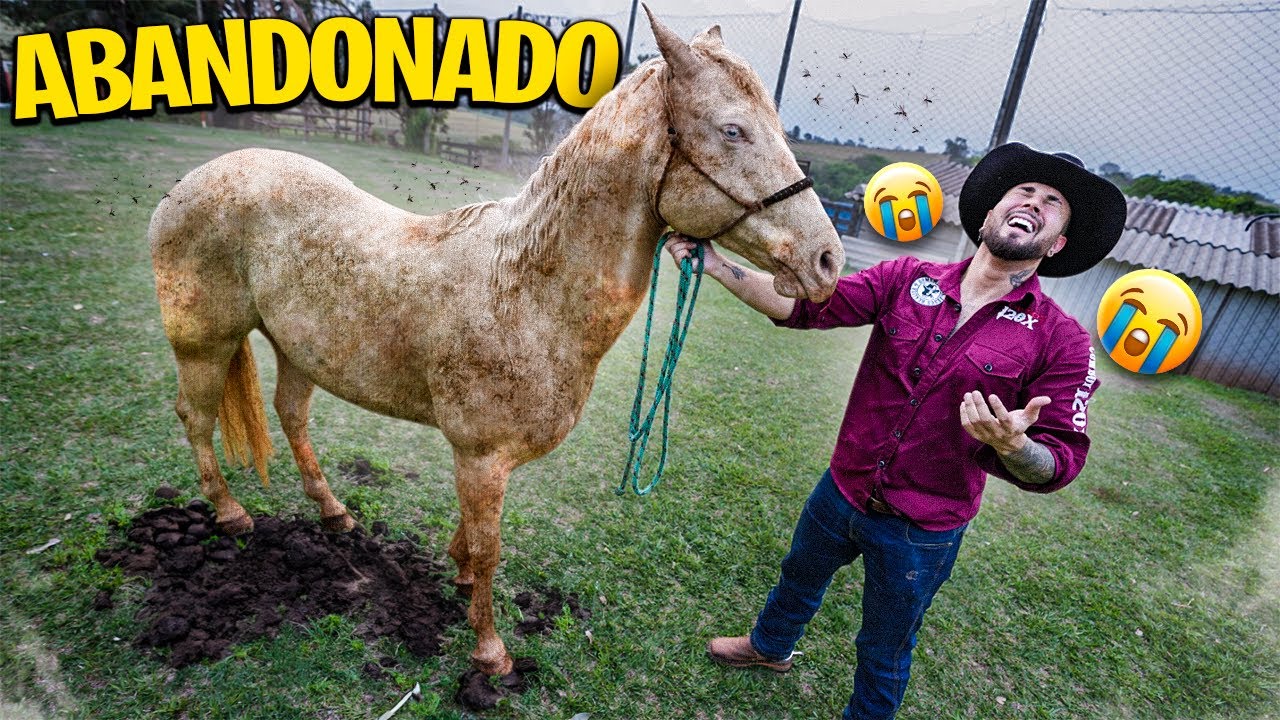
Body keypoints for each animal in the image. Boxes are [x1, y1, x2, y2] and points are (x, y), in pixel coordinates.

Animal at [148, 8, 843, 676]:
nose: (827, 261)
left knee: (290, 416)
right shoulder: (480, 455)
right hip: (204, 342)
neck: (527, 289)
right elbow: (489, 548)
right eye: (733, 130)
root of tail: (190, 181)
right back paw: (230, 512)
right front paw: (489, 652)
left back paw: (334, 513)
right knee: (195, 416)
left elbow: (468, 537)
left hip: (298, 348)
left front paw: (455, 575)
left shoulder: (481, 460)